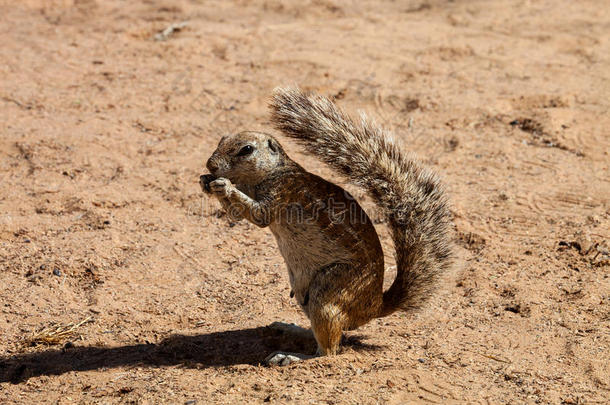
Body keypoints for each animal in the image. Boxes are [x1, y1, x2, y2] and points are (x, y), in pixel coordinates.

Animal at [201, 86, 452, 362]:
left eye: (246, 149)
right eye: (221, 139)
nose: (210, 165)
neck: (271, 173)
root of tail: (374, 307)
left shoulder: (281, 193)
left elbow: (259, 215)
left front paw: (223, 185)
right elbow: (236, 215)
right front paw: (206, 182)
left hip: (329, 291)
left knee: (329, 350)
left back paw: (291, 356)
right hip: (305, 296)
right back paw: (289, 328)